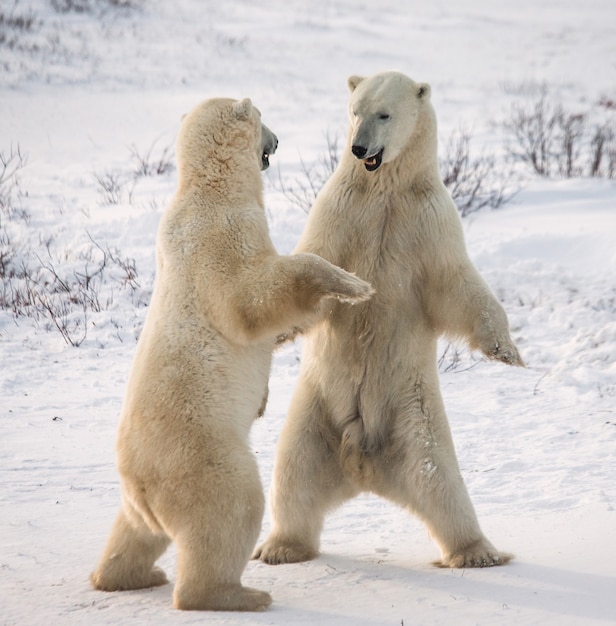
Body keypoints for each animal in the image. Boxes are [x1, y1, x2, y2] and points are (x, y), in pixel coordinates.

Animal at [89, 97, 372, 608]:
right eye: (262, 117)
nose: (277, 141)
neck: (210, 189)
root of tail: (140, 481)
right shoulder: (222, 235)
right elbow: (252, 299)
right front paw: (352, 284)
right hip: (202, 454)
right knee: (231, 508)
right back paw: (235, 594)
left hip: (138, 497)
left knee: (134, 531)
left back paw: (127, 576)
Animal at [253, 70, 524, 568]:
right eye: (354, 110)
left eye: (384, 114)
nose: (359, 149)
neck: (383, 189)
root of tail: (361, 464)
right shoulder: (339, 209)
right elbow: (315, 264)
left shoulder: (428, 218)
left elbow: (455, 283)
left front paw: (507, 351)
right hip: (315, 412)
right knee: (293, 472)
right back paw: (279, 547)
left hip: (414, 415)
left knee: (441, 482)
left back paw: (476, 552)